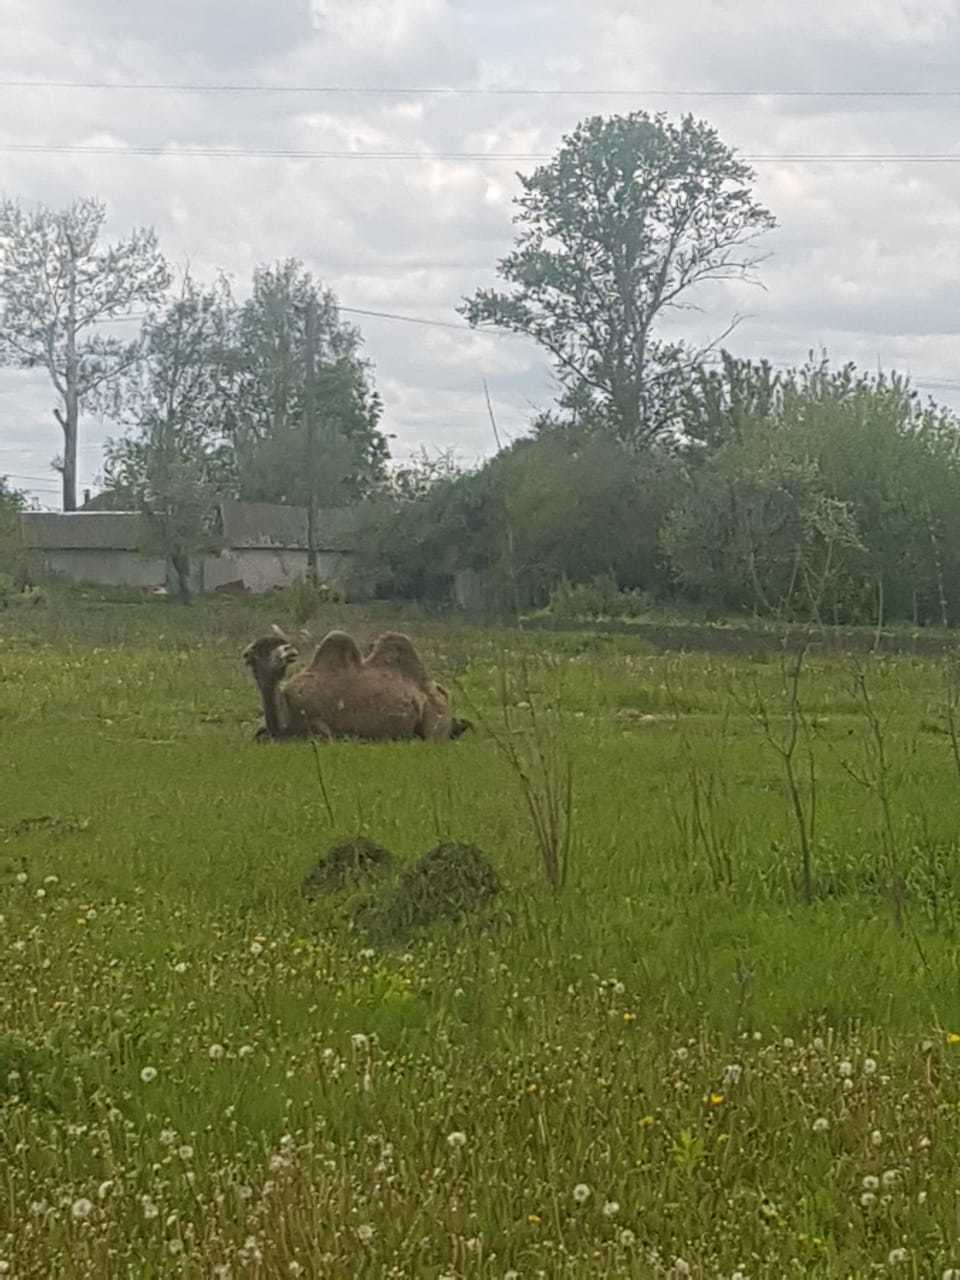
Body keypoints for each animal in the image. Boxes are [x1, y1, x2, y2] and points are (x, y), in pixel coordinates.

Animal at [239, 627, 465, 747]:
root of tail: (441, 693)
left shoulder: (320, 728)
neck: (285, 721)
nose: (289, 650)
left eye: (282, 644)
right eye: (261, 649)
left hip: (434, 722)